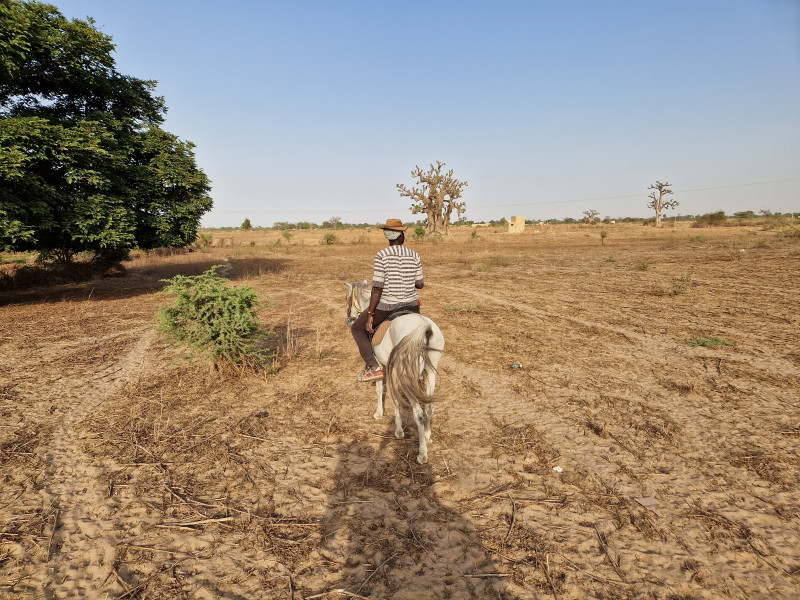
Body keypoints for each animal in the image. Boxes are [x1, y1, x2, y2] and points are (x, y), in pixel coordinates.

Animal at [344, 282, 444, 464]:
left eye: (348, 299)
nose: (348, 320)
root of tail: (424, 329)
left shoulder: (382, 366)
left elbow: (383, 392)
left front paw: (386, 420)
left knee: (418, 413)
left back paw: (422, 454)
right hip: (430, 371)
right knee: (429, 406)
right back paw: (427, 436)